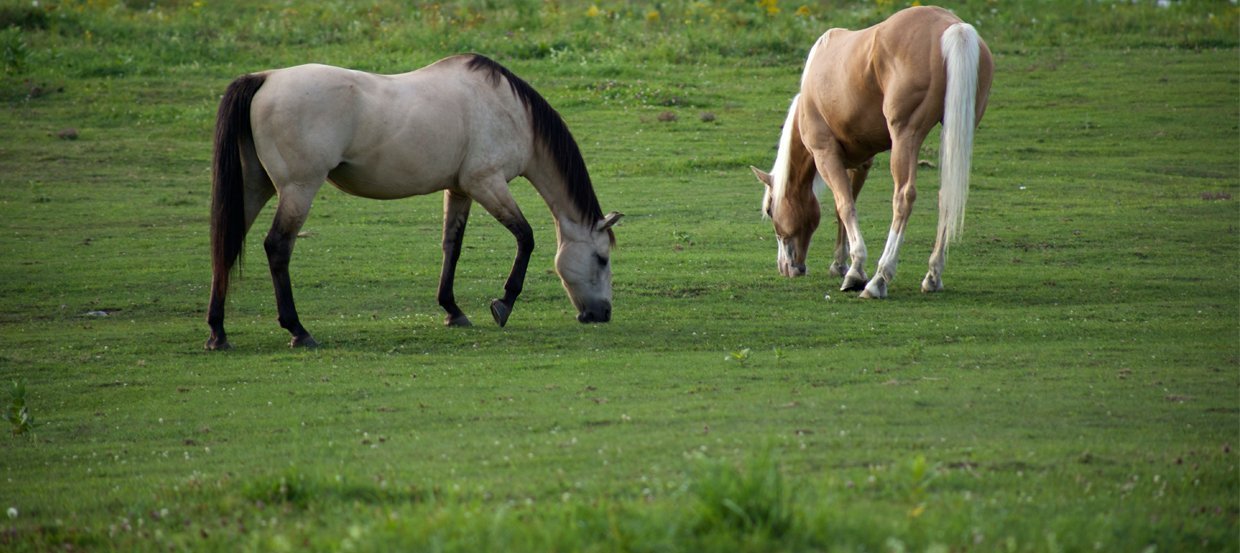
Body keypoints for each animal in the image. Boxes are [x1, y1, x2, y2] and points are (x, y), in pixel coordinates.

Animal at [210, 56, 629, 349]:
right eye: (601, 259)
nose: (603, 314)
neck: (510, 111)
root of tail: (265, 78)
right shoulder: (486, 183)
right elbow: (525, 237)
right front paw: (504, 304)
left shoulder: (459, 190)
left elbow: (452, 245)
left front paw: (452, 310)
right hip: (298, 189)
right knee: (277, 247)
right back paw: (298, 330)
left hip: (255, 187)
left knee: (226, 246)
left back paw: (218, 332)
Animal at [744, 5, 996, 297]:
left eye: (770, 210)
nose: (787, 268)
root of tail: (952, 26)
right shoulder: (860, 161)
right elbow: (844, 206)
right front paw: (841, 264)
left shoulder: (825, 154)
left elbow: (844, 206)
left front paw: (855, 272)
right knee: (947, 195)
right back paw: (932, 276)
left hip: (905, 136)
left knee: (903, 198)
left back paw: (879, 279)